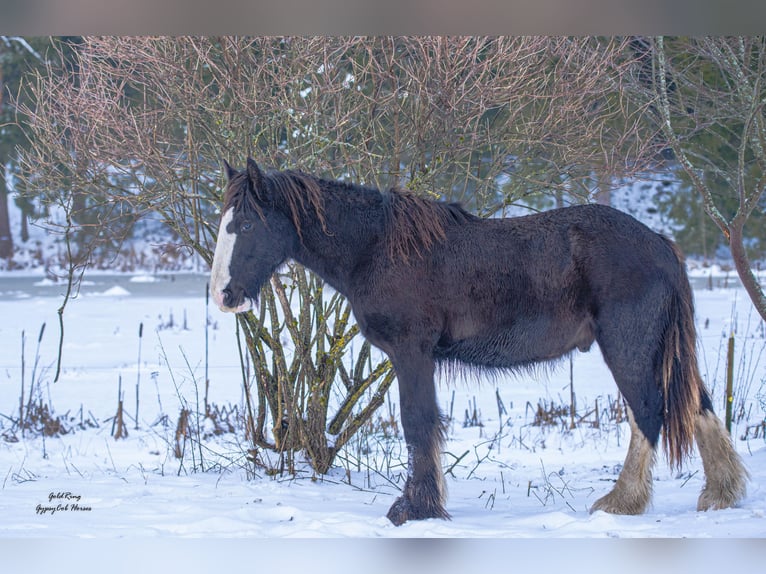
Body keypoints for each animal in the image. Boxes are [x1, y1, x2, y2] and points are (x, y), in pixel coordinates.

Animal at [210, 159, 752, 528]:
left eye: (246, 224)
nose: (223, 295)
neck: (376, 248)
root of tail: (660, 243)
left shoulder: (412, 352)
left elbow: (417, 424)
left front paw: (415, 508)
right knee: (698, 405)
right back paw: (721, 494)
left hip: (630, 347)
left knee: (648, 413)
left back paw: (622, 503)